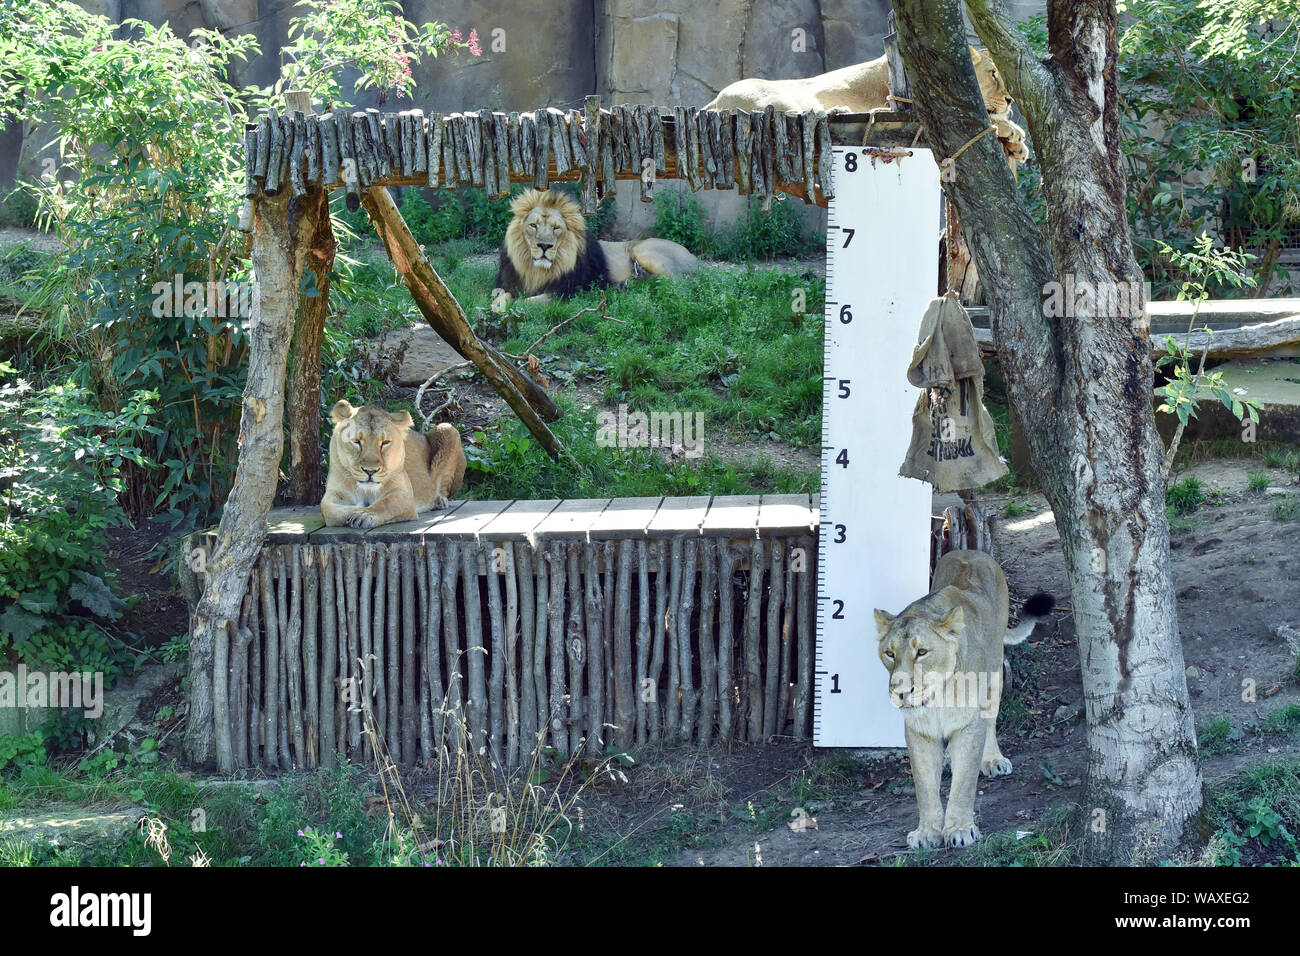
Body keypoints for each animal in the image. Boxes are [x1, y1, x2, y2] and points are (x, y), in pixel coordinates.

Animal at [319, 398, 467, 530]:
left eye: (385, 442)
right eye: (356, 441)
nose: (370, 471)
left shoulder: (405, 495)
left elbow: (386, 504)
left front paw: (365, 514)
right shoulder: (333, 494)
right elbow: (328, 509)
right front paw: (358, 509)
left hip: (448, 428)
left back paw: (439, 501)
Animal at [488, 191, 702, 314]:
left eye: (556, 228)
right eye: (533, 225)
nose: (544, 246)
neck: (536, 270)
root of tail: (695, 258)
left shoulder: (568, 292)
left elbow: (527, 302)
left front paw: (512, 306)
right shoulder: (508, 284)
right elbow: (504, 296)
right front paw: (497, 305)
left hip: (642, 250)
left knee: (679, 284)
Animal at [707, 46, 1029, 166]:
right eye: (993, 73)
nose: (1011, 99)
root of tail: (715, 99)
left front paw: (1017, 145)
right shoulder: (928, 108)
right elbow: (985, 119)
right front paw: (1013, 132)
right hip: (779, 98)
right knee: (798, 116)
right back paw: (838, 111)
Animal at [873, 548, 1055, 858]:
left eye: (922, 652)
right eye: (889, 653)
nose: (901, 692)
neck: (937, 699)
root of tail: (972, 550)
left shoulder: (970, 725)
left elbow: (964, 782)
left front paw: (959, 830)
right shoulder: (918, 732)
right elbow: (924, 785)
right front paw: (927, 833)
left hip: (995, 671)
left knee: (992, 721)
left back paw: (993, 760)